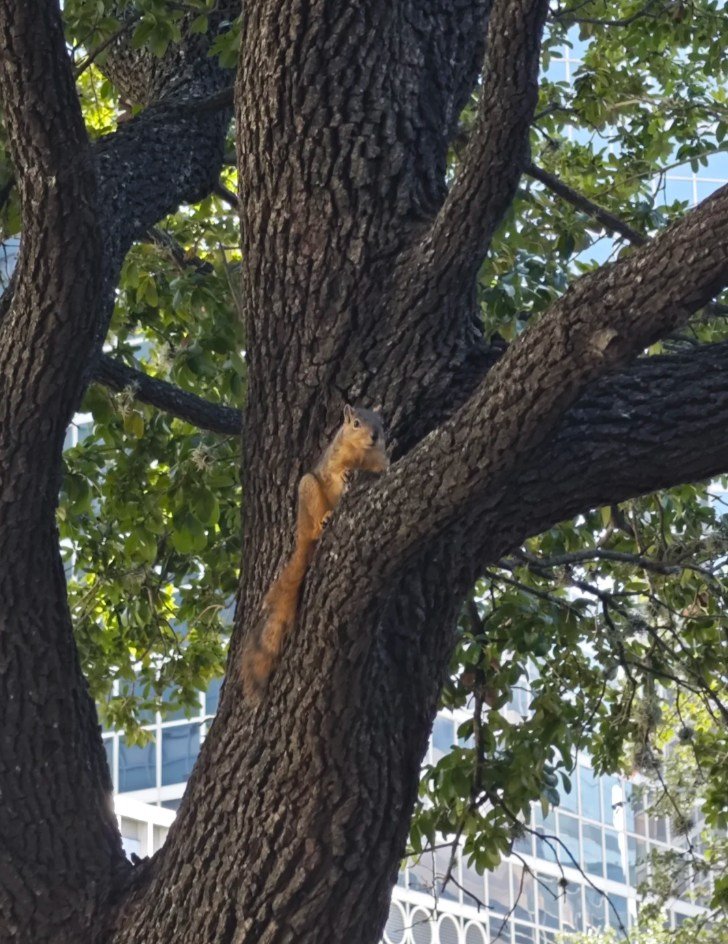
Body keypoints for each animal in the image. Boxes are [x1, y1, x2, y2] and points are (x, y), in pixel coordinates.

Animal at [240, 404, 389, 700]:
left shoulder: (380, 459)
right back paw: (323, 522)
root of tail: (300, 536)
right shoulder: (332, 461)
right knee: (314, 523)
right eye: (356, 423)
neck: (361, 454)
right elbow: (335, 473)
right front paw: (344, 475)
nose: (375, 436)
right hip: (308, 490)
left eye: (381, 421)